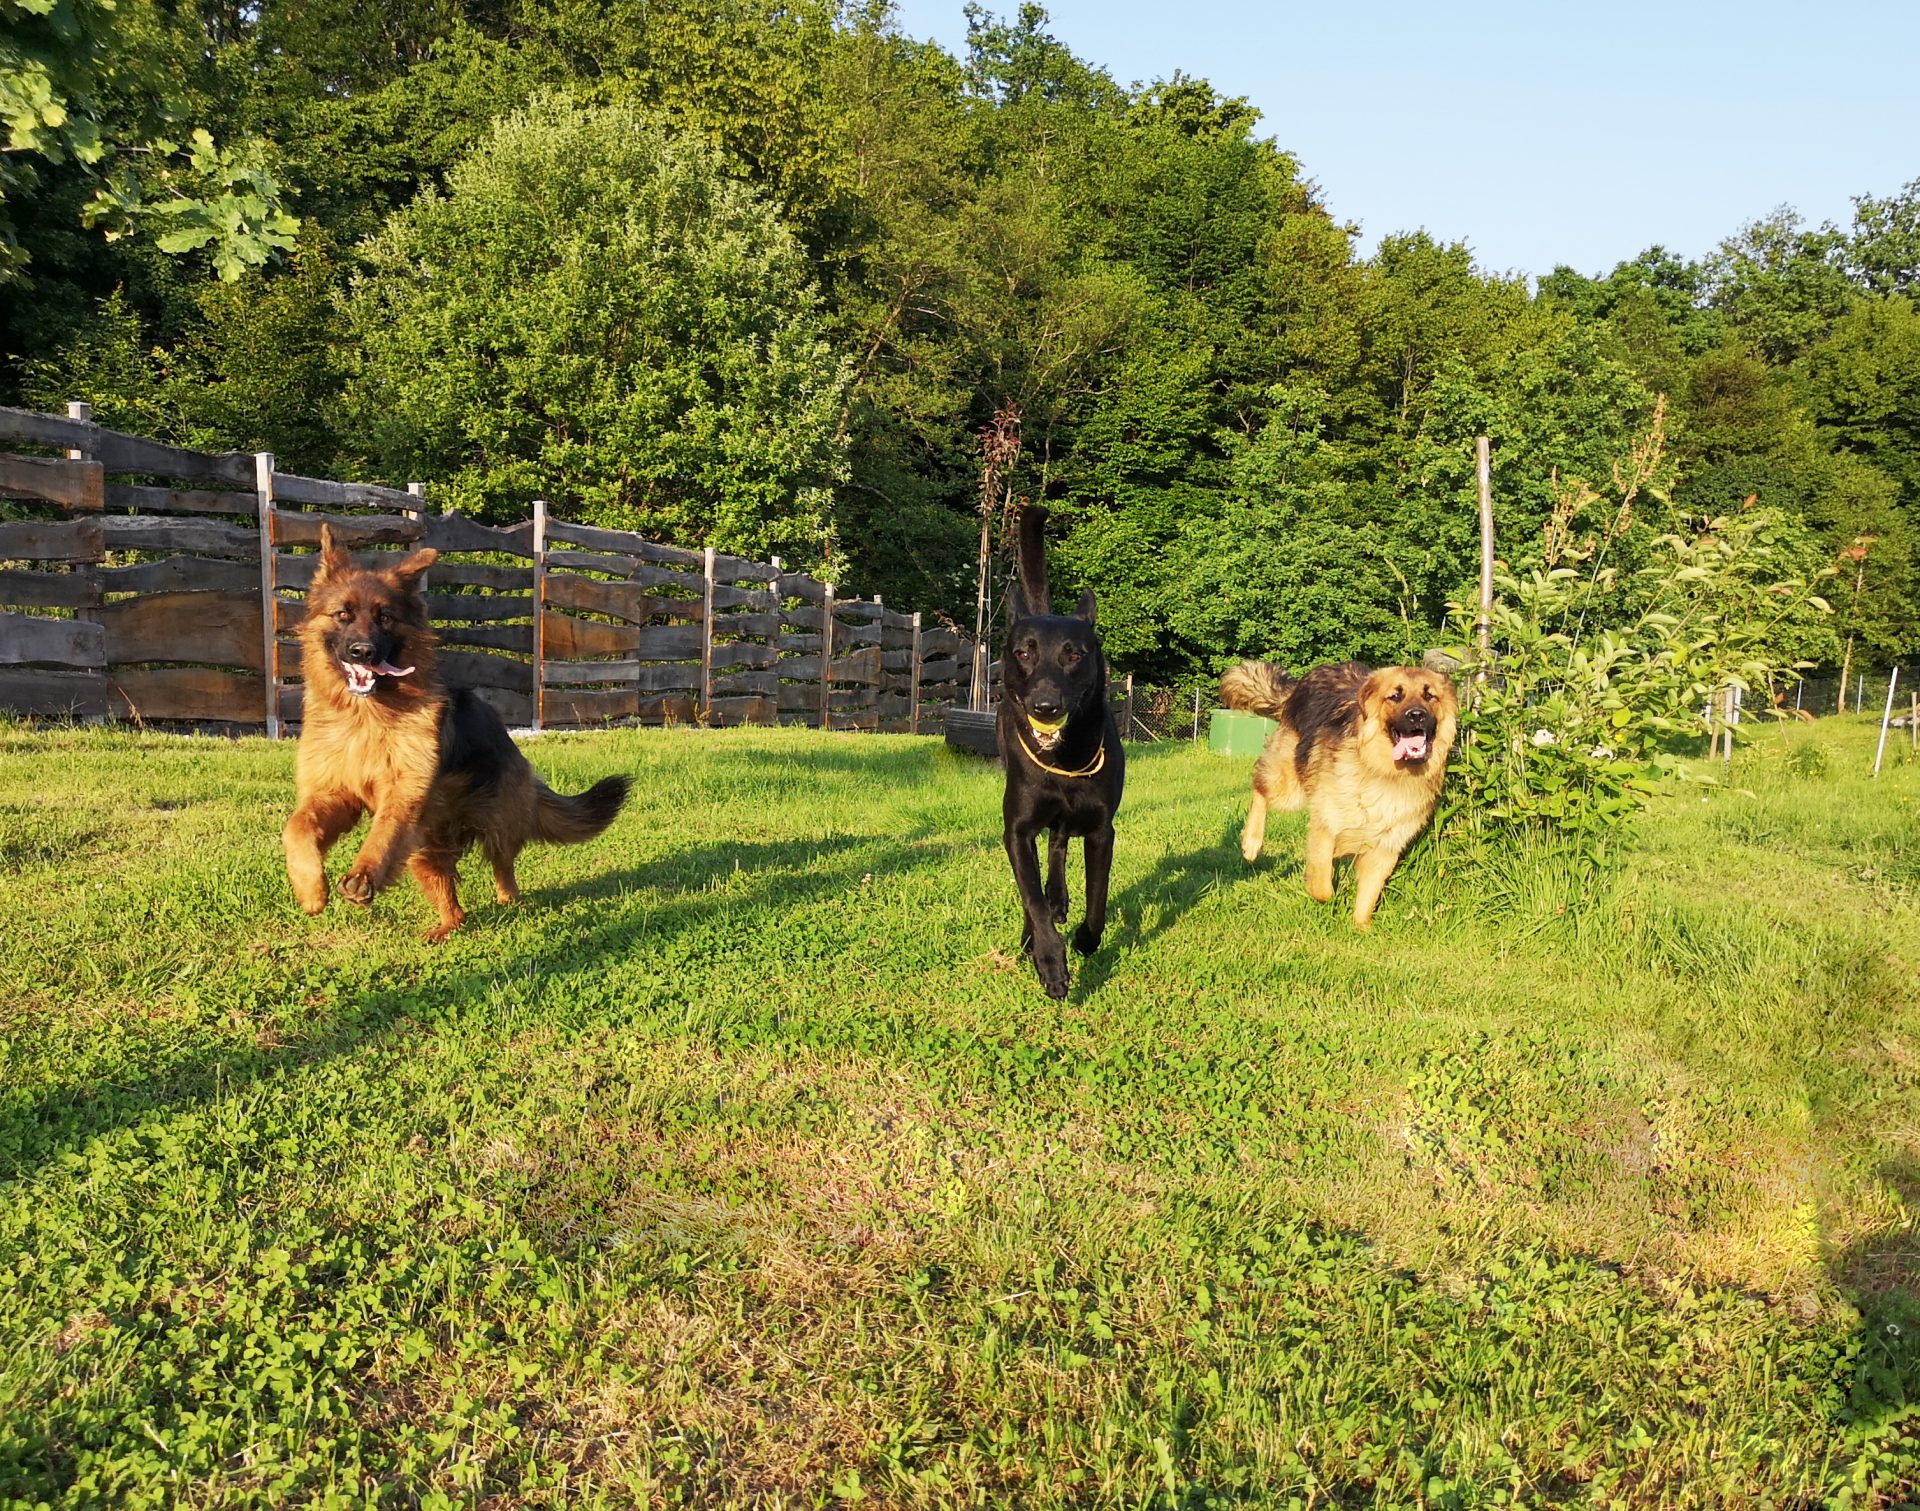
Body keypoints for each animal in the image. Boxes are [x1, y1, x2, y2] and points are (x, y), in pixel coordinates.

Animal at [284, 526, 629, 940]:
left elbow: (384, 830)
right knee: (452, 895)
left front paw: (362, 874)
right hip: (425, 846)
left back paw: (507, 900)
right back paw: (447, 925)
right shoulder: (334, 795)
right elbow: (295, 828)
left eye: (385, 618)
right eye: (342, 615)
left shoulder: (403, 793)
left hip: (492, 822)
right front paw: (310, 891)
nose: (362, 652)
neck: (366, 717)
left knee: (503, 864)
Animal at [1228, 664, 1451, 933]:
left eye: (1430, 696)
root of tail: (1301, 683)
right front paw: (1322, 890)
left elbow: (1368, 896)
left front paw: (1362, 928)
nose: (1417, 715)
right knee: (1259, 784)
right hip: (1288, 786)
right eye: (1396, 696)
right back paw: (1252, 842)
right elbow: (1323, 887)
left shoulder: (1385, 848)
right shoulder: (1326, 825)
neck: (1384, 772)